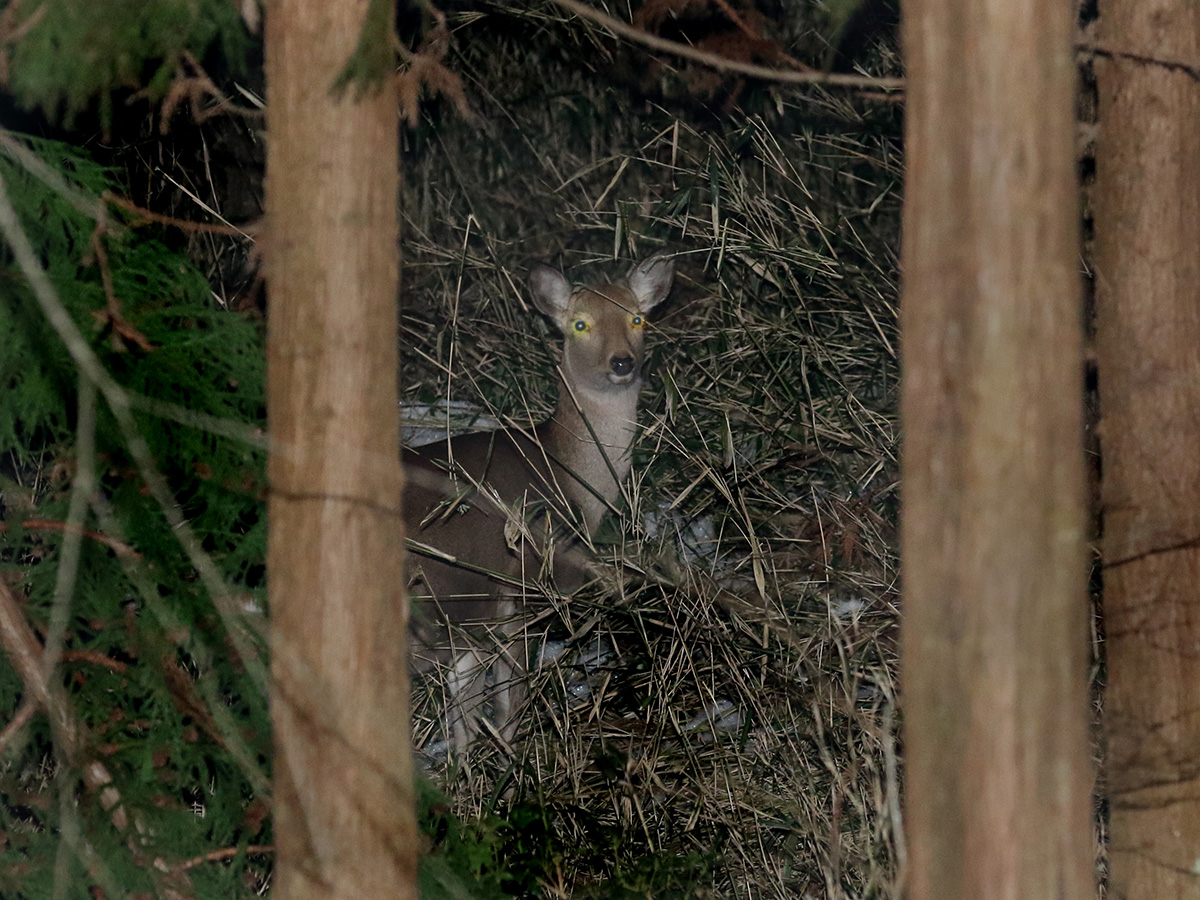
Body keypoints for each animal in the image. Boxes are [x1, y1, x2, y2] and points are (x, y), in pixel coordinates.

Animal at [403, 255, 676, 753]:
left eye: (637, 318)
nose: (622, 362)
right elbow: (507, 697)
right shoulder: (525, 585)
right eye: (580, 324)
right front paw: (509, 754)